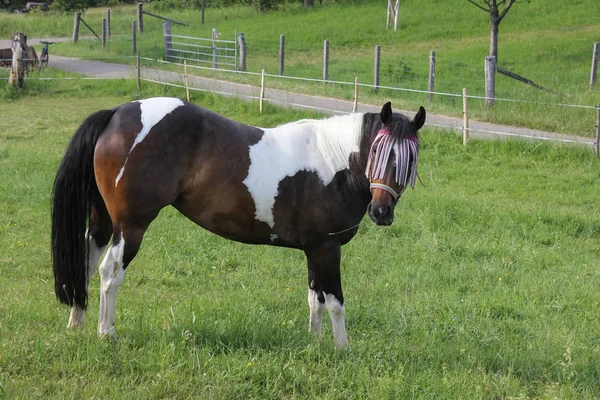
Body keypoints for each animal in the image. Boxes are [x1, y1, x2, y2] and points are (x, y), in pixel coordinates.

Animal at [51, 98, 426, 348]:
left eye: (410, 158)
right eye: (377, 151)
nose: (381, 212)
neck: (332, 161)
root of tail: (116, 114)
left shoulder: (313, 249)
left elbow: (314, 300)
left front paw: (315, 344)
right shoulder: (327, 247)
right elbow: (334, 302)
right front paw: (342, 350)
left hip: (102, 222)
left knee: (84, 264)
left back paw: (76, 325)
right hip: (130, 227)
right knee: (109, 272)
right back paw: (106, 333)